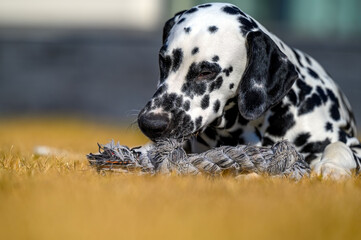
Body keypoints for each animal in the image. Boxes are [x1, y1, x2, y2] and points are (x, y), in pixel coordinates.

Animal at [136, 1, 358, 178]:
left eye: (206, 72)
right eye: (163, 61)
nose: (150, 123)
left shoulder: (351, 144)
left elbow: (339, 146)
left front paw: (332, 167)